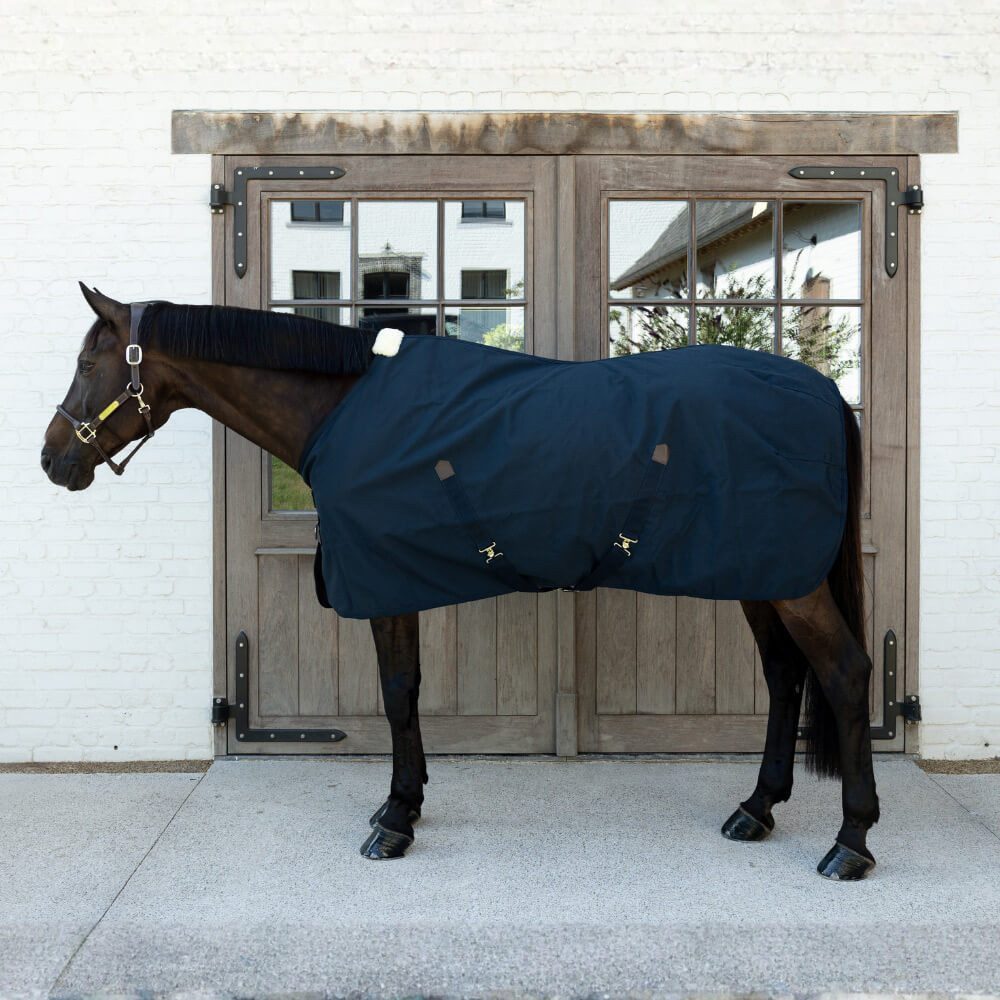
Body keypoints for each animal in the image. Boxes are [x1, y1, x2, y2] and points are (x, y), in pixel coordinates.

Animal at [41, 284, 879, 880]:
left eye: (87, 364)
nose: (54, 460)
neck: (343, 408)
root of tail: (826, 393)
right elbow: (407, 691)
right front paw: (404, 806)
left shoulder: (386, 582)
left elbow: (397, 692)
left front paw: (393, 822)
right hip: (761, 573)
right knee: (784, 676)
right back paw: (757, 810)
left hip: (790, 582)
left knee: (843, 672)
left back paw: (851, 843)